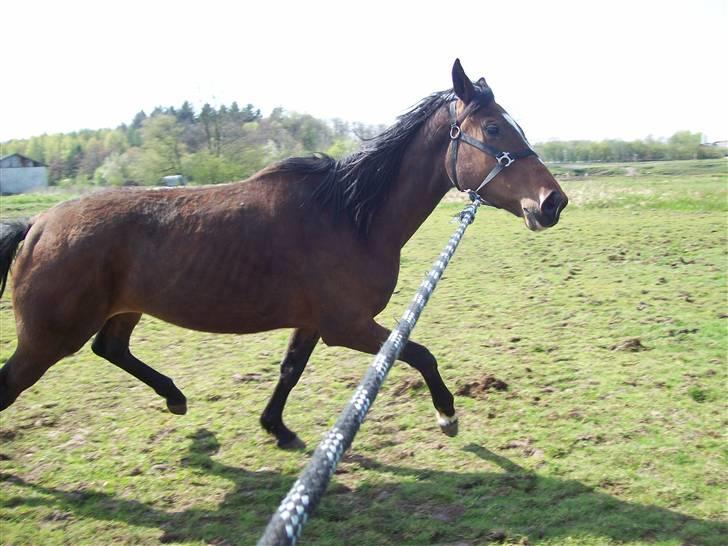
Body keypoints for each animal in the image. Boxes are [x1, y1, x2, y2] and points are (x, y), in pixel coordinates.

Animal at [0, 59, 568, 446]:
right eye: (493, 128)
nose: (552, 201)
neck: (349, 216)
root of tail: (37, 226)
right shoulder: (347, 325)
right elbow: (419, 353)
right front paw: (447, 415)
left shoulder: (313, 322)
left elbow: (290, 370)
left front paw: (276, 427)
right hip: (48, 339)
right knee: (16, 384)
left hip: (123, 311)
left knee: (111, 349)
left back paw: (175, 398)